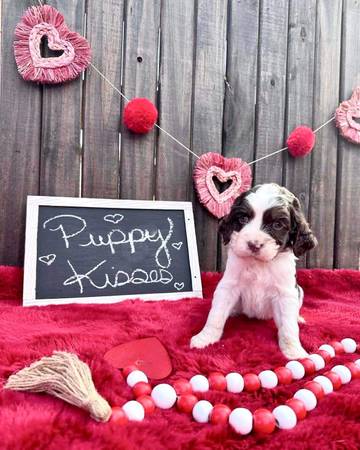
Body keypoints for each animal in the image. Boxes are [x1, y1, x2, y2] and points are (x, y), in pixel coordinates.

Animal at [190, 182, 316, 358]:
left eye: (277, 225)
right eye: (243, 218)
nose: (253, 244)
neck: (259, 264)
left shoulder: (286, 293)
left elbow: (288, 327)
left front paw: (294, 352)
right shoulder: (228, 286)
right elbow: (216, 315)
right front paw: (205, 338)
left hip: (300, 291)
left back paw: (298, 318)